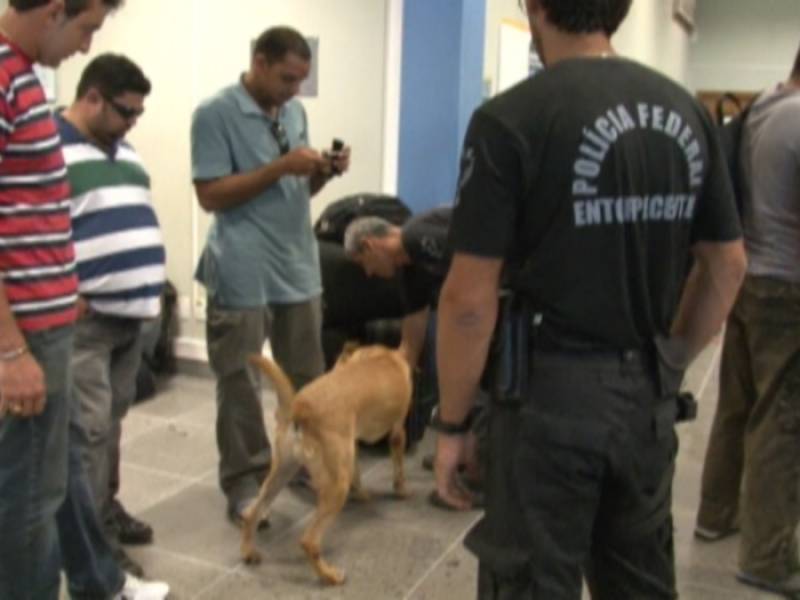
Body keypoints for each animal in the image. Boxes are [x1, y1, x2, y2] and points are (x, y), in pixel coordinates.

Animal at [238, 344, 412, 584]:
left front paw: (362, 493)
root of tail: (299, 409)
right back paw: (329, 575)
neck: (381, 357)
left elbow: (357, 472)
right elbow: (399, 466)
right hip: (336, 487)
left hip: (281, 472)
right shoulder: (398, 431)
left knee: (251, 514)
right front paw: (401, 489)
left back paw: (248, 551)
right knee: (309, 542)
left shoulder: (352, 443)